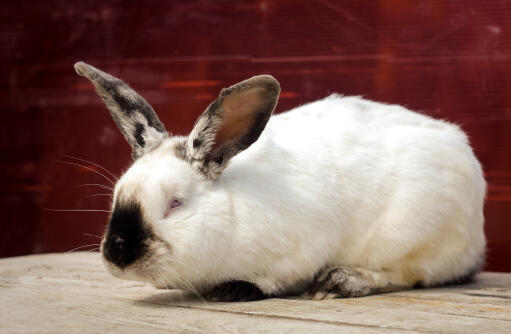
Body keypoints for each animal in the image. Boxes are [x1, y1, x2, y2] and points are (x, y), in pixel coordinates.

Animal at [74, 61, 486, 302]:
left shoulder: (296, 254)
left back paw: (341, 281)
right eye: (117, 196)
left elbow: (275, 280)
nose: (117, 253)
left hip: (410, 237)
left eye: (175, 203)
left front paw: (234, 289)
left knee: (410, 275)